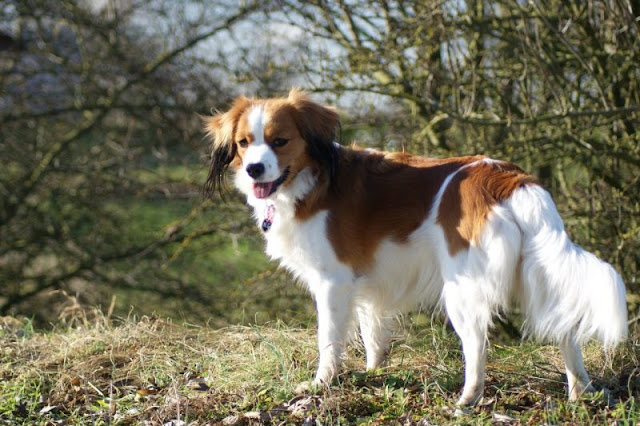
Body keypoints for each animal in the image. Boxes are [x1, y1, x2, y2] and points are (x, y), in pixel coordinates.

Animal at [202, 88, 628, 404]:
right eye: (244, 143)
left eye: (280, 141)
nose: (254, 169)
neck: (313, 179)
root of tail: (507, 178)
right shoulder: (367, 285)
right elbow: (373, 336)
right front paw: (371, 374)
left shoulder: (332, 283)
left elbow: (329, 340)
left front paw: (322, 383)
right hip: (535, 273)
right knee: (566, 328)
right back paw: (579, 391)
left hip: (462, 288)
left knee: (477, 344)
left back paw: (467, 400)